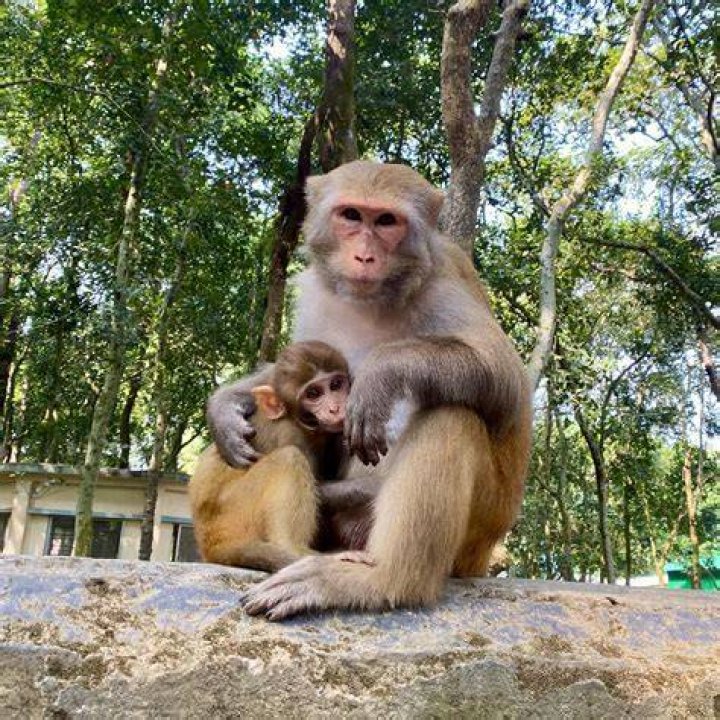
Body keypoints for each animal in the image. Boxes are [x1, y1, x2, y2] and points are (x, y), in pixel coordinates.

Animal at [189, 341, 351, 572]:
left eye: (336, 385)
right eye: (313, 394)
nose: (335, 408)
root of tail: (209, 542)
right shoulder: (290, 434)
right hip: (234, 511)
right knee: (290, 458)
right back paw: (294, 551)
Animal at [207, 160, 532, 620]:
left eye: (386, 221)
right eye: (351, 215)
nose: (364, 255)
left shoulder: (445, 285)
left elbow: (507, 384)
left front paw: (382, 372)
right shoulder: (316, 295)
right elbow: (292, 368)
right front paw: (224, 408)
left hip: (479, 529)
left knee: (452, 414)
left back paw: (381, 580)